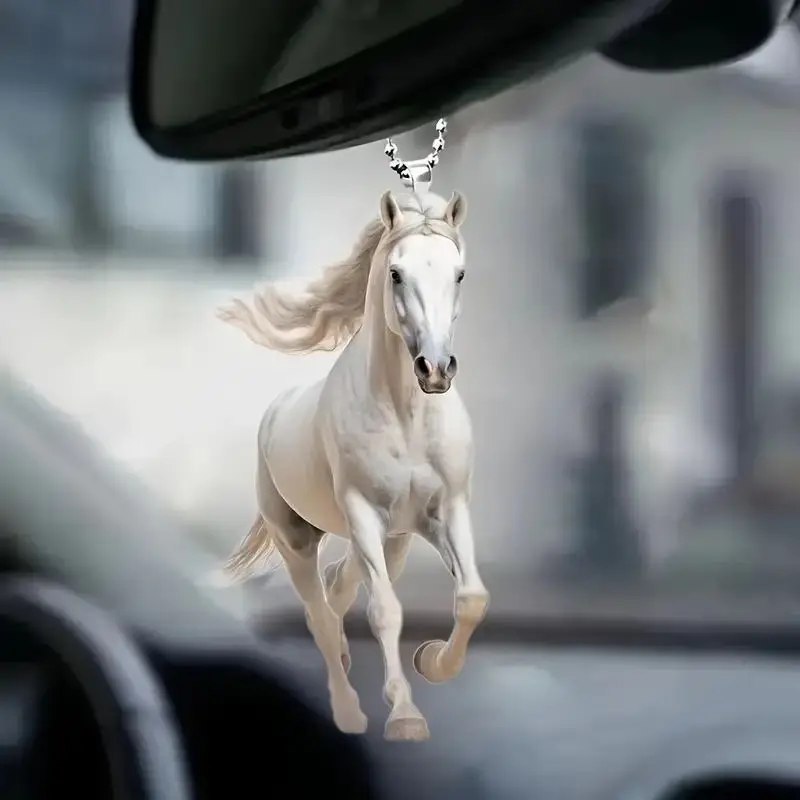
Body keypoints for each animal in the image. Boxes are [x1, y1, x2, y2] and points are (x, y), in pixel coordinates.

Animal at [216, 189, 488, 741]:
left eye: (460, 273)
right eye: (396, 273)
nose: (435, 369)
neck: (406, 418)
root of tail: (274, 413)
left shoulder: (448, 509)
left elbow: (471, 597)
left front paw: (432, 661)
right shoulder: (362, 513)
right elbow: (384, 611)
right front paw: (404, 715)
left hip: (399, 539)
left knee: (339, 586)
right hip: (297, 539)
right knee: (319, 614)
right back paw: (347, 711)